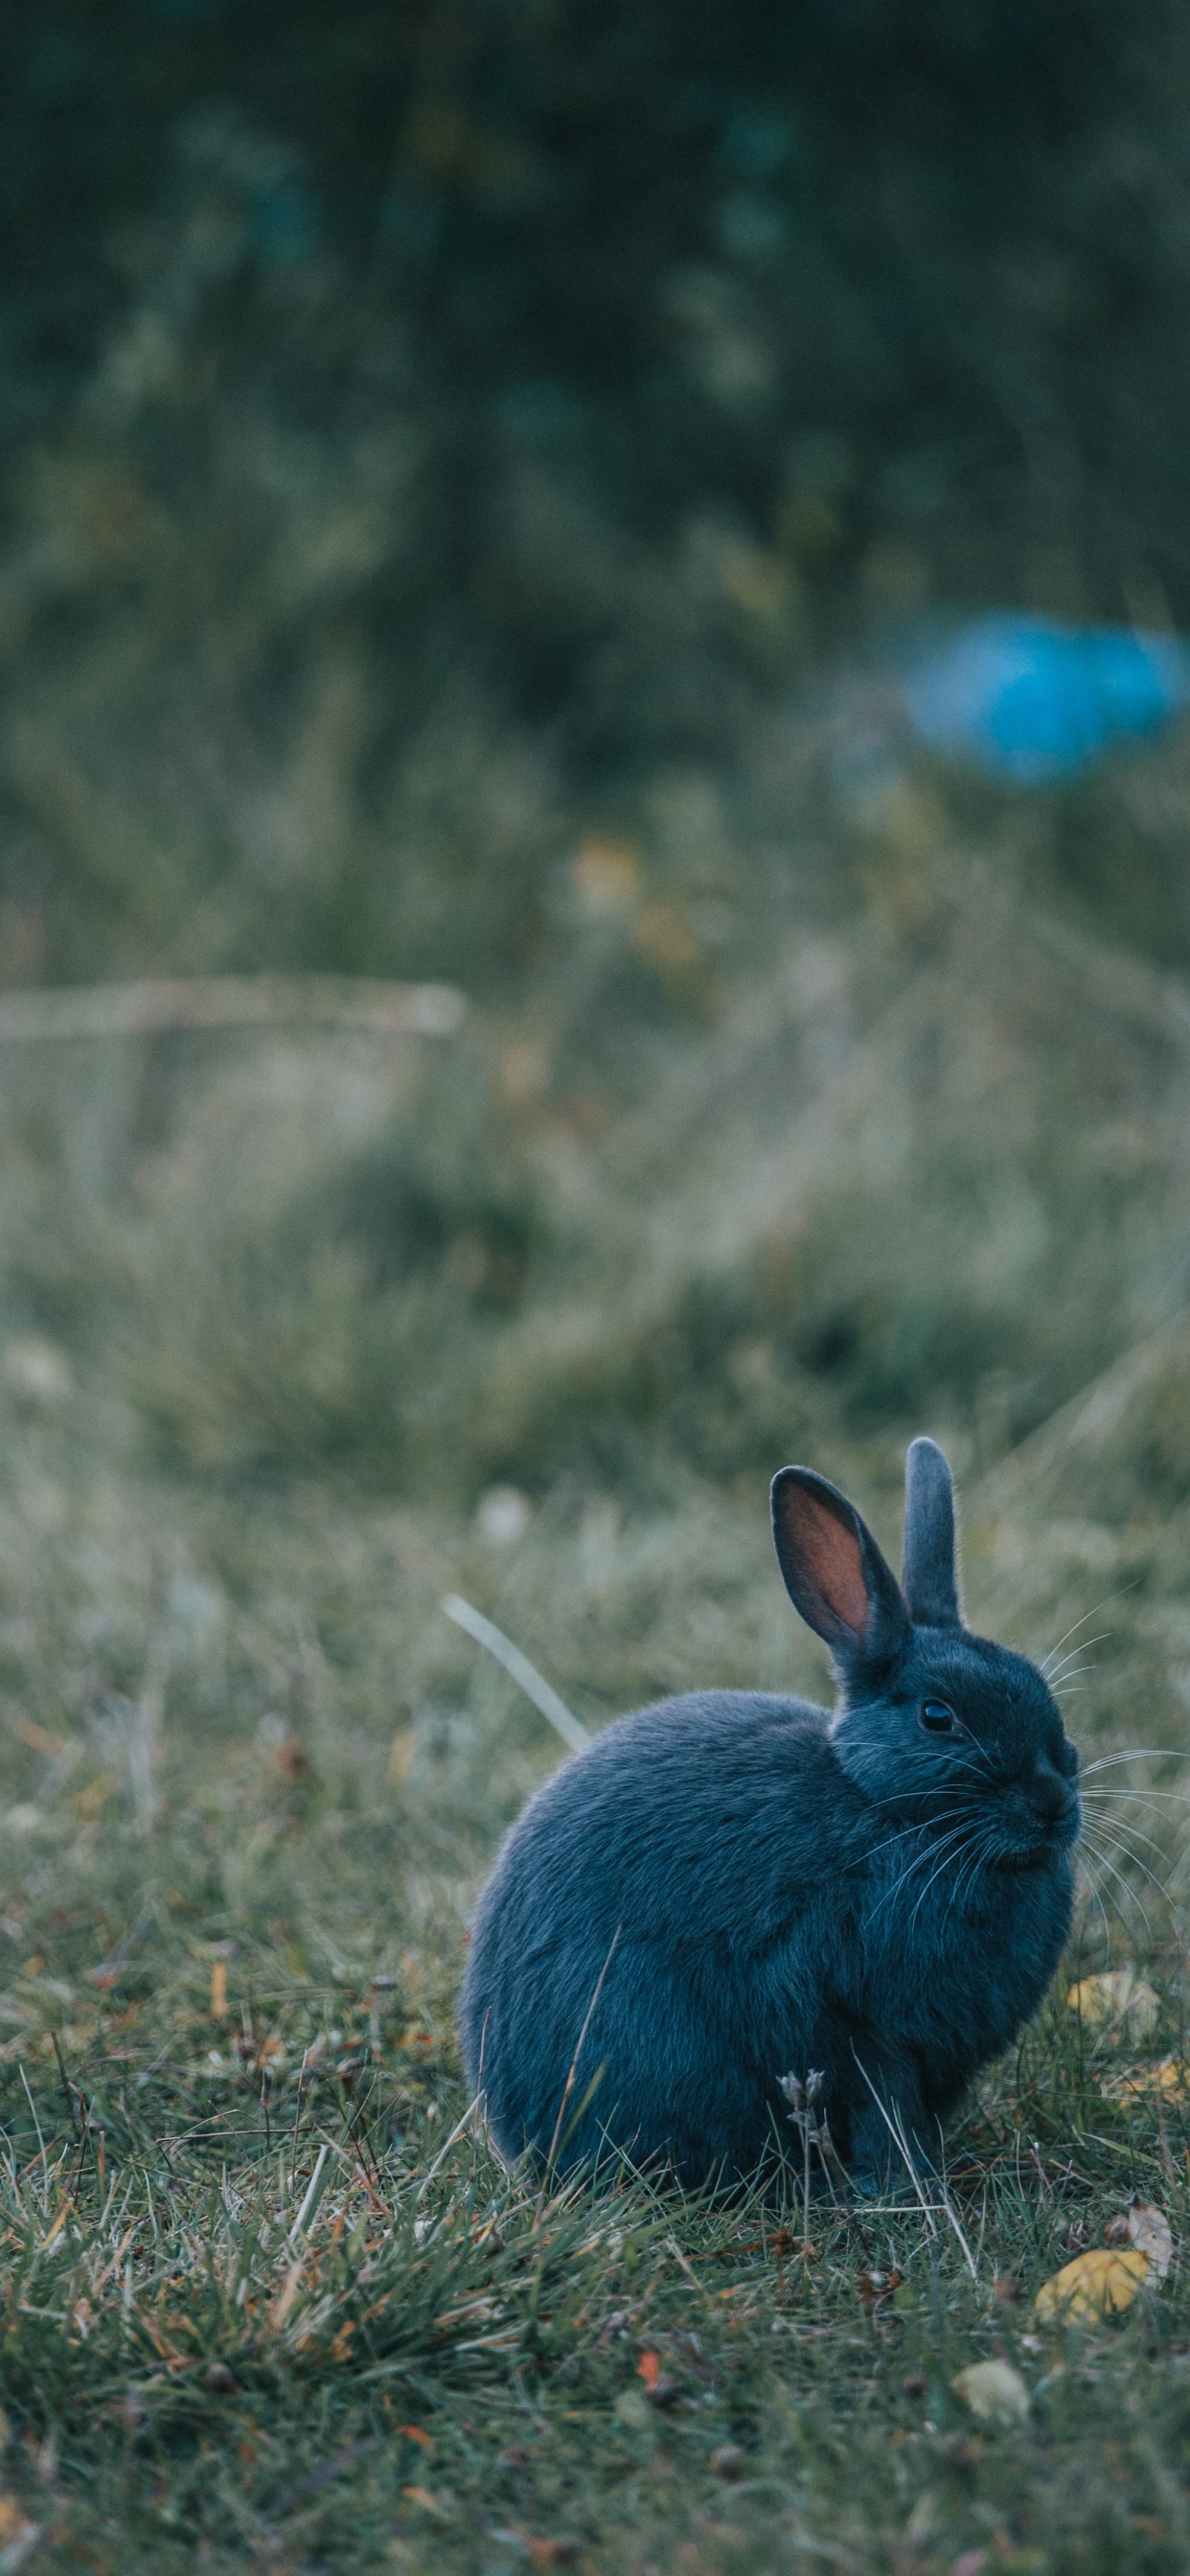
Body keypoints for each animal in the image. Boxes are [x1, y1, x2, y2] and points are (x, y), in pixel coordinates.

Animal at [459, 1438, 1081, 2191]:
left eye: (1040, 1689)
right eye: (939, 1717)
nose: (1054, 1802)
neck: (886, 1813)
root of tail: (515, 2129)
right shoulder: (854, 2022)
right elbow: (883, 2111)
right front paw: (904, 2189)